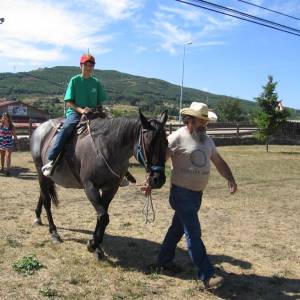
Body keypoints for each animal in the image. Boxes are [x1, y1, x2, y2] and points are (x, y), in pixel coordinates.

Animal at [31, 111, 168, 258]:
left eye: (166, 142)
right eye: (149, 143)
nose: (158, 179)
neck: (107, 148)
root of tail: (40, 128)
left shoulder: (111, 188)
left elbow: (102, 215)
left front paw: (97, 246)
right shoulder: (90, 187)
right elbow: (103, 216)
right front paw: (92, 244)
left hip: (48, 177)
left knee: (43, 195)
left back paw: (38, 217)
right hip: (40, 173)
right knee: (47, 201)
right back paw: (54, 232)